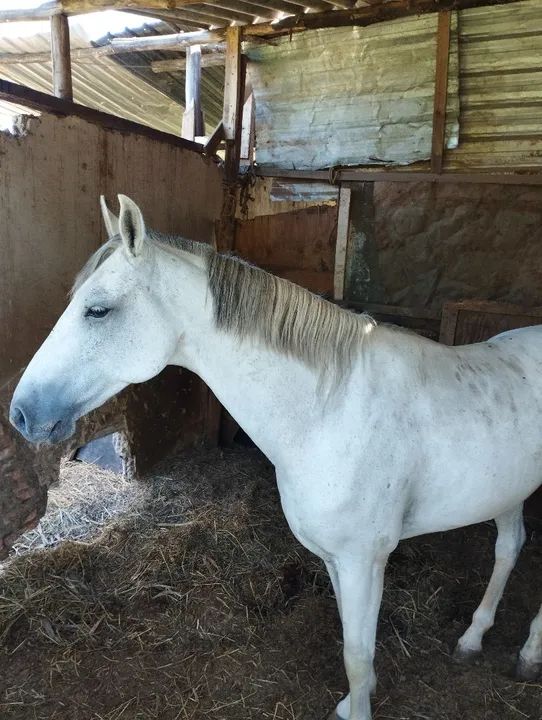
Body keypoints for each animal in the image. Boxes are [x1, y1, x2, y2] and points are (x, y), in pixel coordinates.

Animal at [10, 194, 542, 720]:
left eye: (98, 310)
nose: (21, 413)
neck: (333, 409)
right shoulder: (336, 558)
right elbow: (352, 641)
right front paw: (356, 699)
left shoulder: (362, 559)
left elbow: (357, 653)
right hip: (506, 492)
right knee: (508, 547)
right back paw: (472, 639)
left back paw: (528, 655)